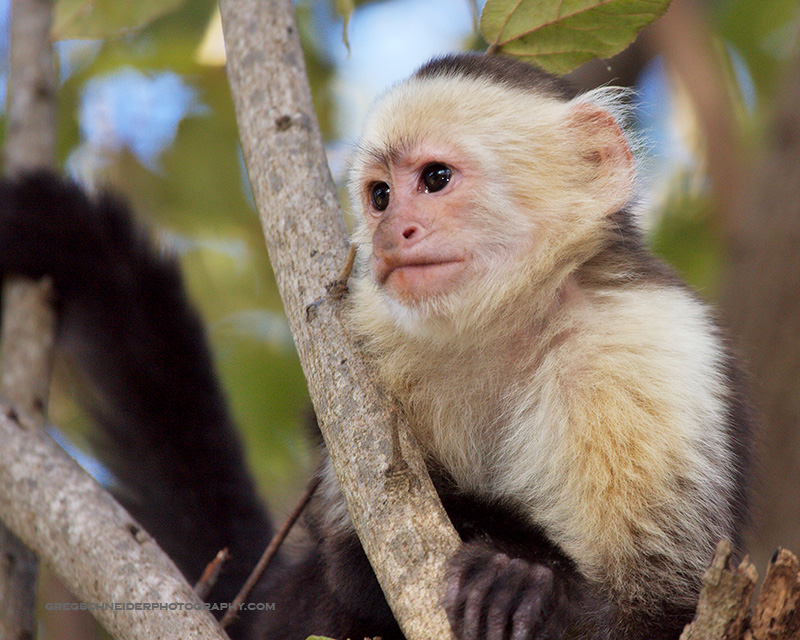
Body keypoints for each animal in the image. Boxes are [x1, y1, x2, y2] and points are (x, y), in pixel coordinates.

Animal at [0, 52, 751, 640]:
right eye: (381, 195)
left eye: (436, 178)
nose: (394, 233)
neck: (506, 322)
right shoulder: (375, 336)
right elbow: (352, 557)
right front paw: (498, 546)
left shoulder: (637, 352)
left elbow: (666, 610)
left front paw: (528, 585)